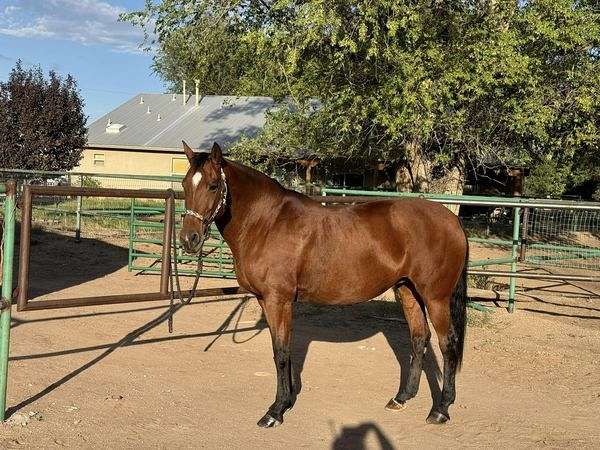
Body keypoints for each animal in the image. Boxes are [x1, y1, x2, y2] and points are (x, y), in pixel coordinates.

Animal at [178, 142, 468, 428]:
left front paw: (275, 412)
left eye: (213, 185)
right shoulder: (270, 300)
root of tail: (452, 220)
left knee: (448, 344)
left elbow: (280, 352)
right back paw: (402, 397)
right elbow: (285, 349)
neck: (266, 223)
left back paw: (441, 409)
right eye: (184, 184)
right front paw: (287, 401)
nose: (189, 239)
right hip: (408, 291)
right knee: (419, 339)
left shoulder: (277, 300)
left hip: (436, 298)